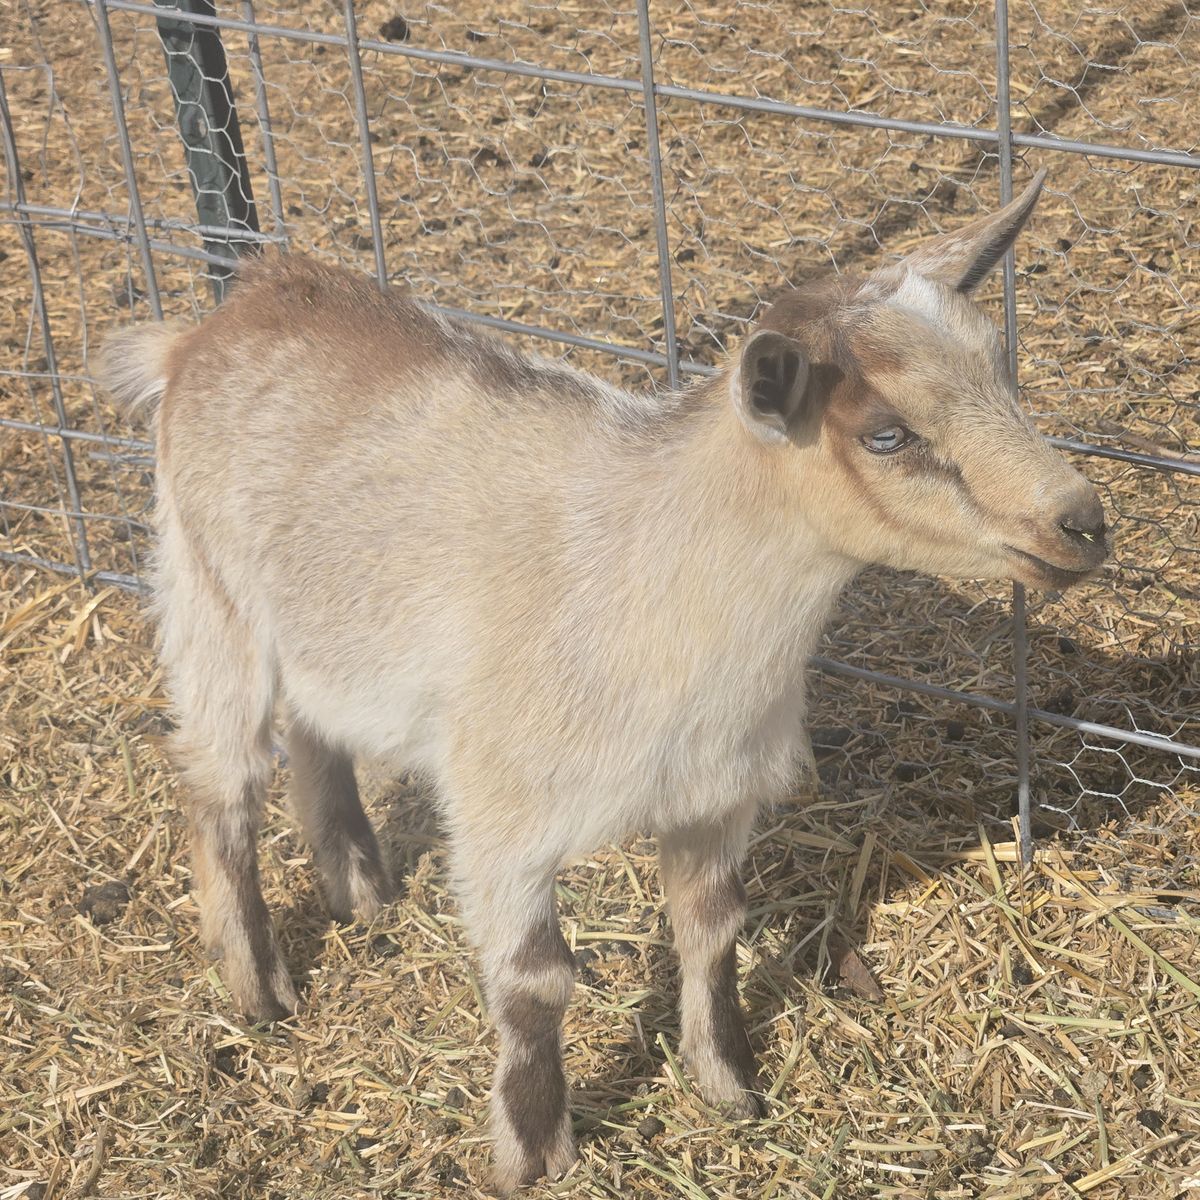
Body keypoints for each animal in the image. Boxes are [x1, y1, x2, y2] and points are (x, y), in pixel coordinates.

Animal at [97, 170, 1107, 1192]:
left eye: (1002, 370)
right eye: (887, 435)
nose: (1083, 522)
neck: (657, 578)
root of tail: (222, 317)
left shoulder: (714, 794)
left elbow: (711, 931)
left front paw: (728, 1086)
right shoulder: (502, 814)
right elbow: (535, 982)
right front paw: (536, 1151)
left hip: (324, 625)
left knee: (317, 730)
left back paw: (361, 890)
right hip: (212, 596)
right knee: (218, 784)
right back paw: (260, 989)